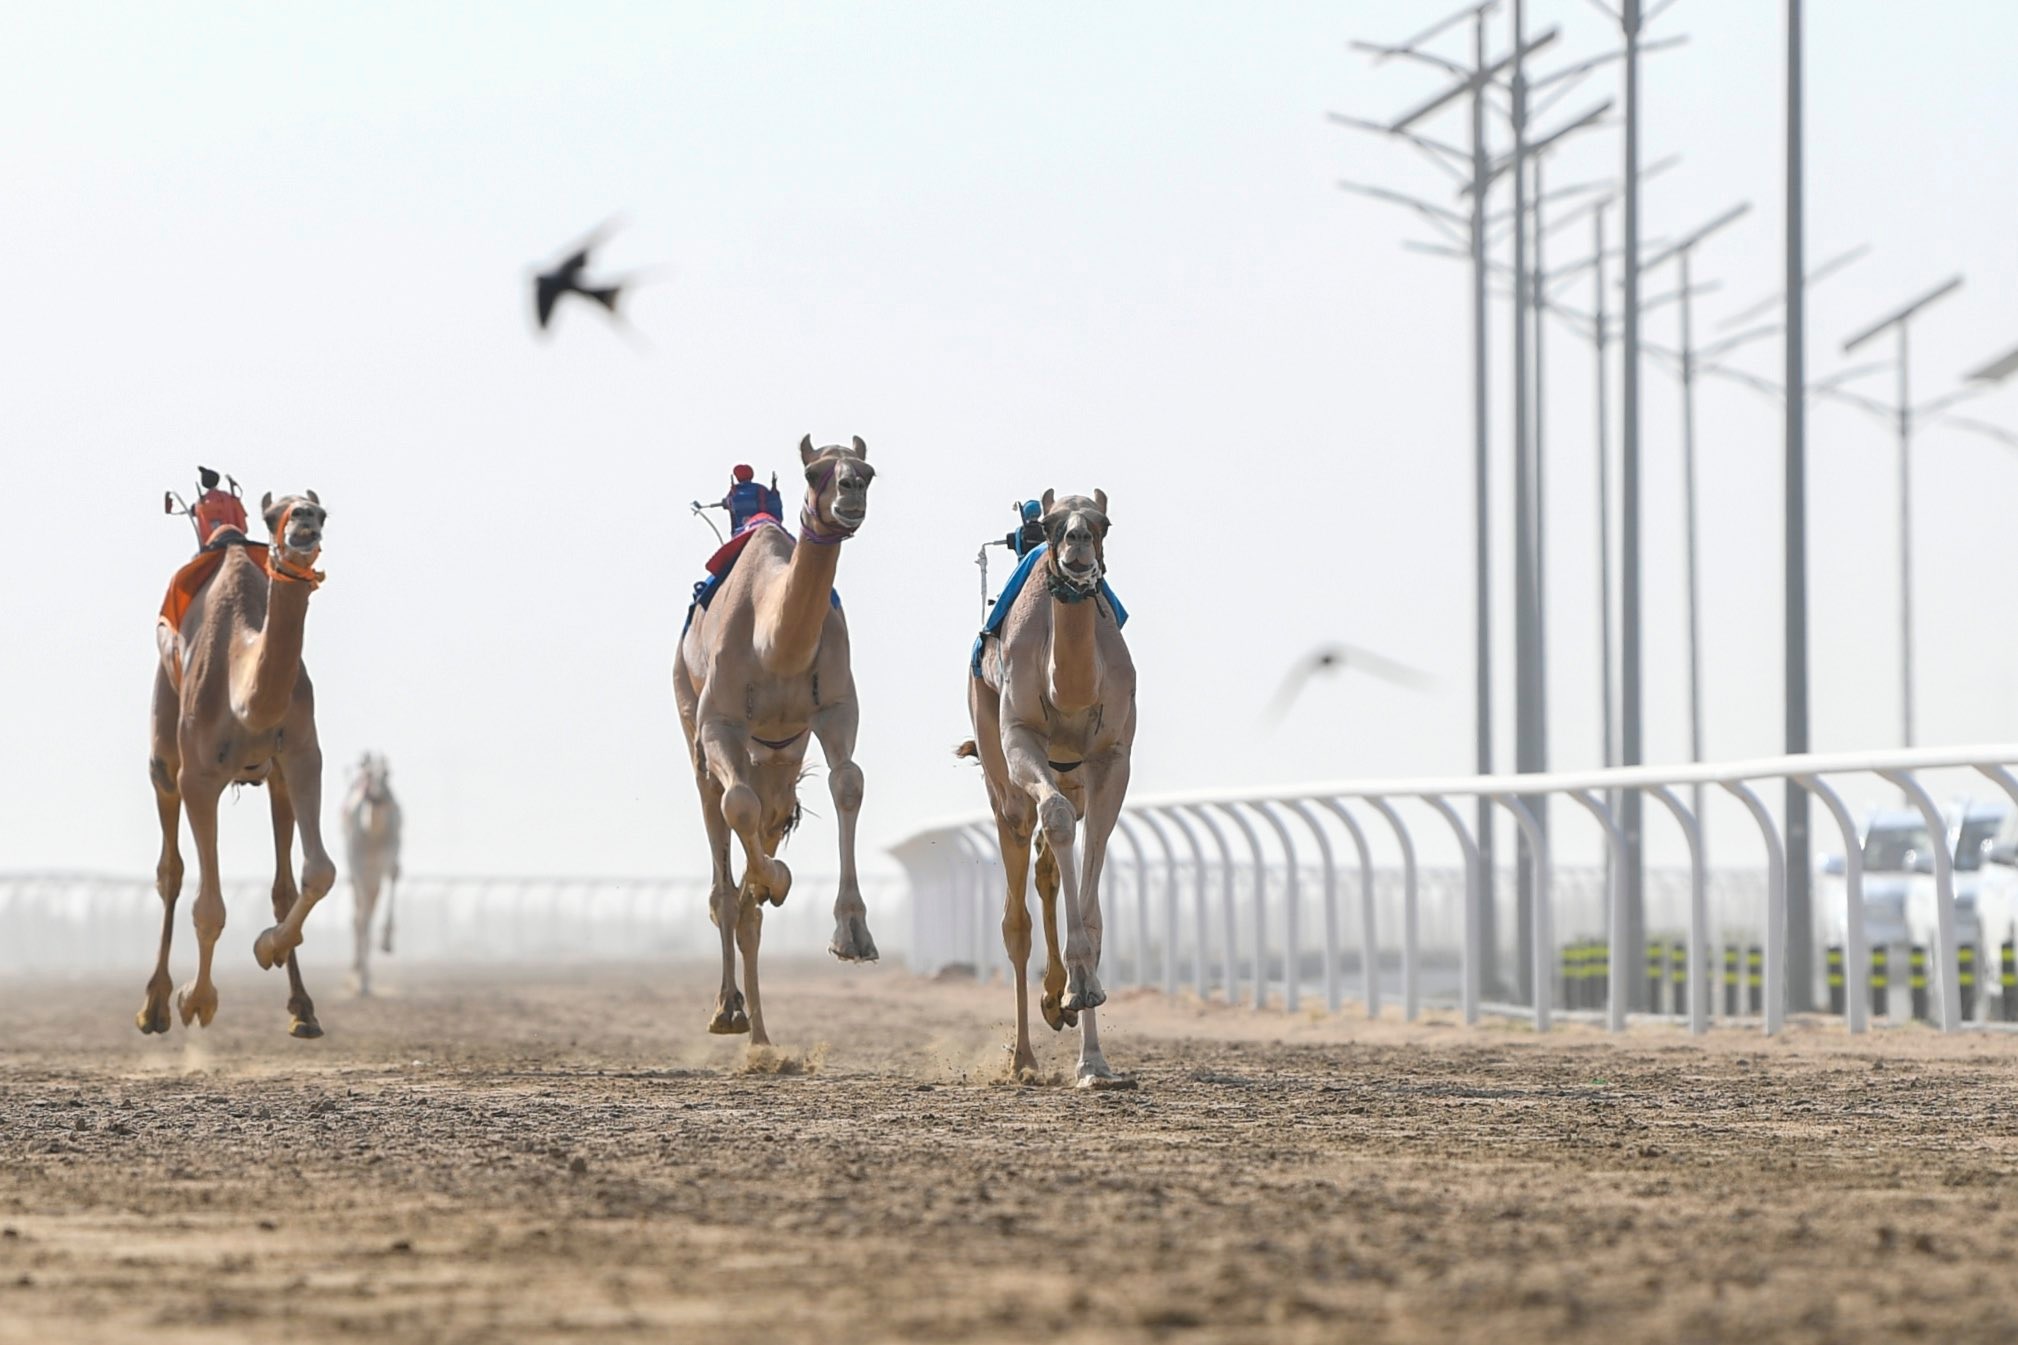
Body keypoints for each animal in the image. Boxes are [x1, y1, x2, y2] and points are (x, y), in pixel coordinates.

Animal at [142, 490, 332, 1040]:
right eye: (272, 516)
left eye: (322, 511)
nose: (304, 520)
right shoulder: (199, 775)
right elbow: (207, 907)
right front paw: (194, 1001)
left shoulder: (303, 753)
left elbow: (319, 872)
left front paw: (268, 946)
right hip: (164, 748)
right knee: (171, 871)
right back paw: (154, 1006)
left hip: (275, 781)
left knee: (283, 885)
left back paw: (303, 1009)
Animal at [674, 437, 879, 1048]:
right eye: (815, 473)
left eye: (868, 471)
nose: (850, 493)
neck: (774, 646)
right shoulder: (718, 722)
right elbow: (735, 806)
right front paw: (781, 879)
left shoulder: (835, 709)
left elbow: (848, 782)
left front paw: (853, 935)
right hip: (694, 724)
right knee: (722, 844)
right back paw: (728, 1011)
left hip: (780, 762)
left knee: (752, 878)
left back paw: (762, 1037)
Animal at [960, 490, 1138, 1088]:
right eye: (1056, 523)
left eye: (1104, 522)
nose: (1077, 542)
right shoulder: (1019, 739)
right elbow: (1056, 820)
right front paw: (1076, 990)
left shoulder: (1112, 761)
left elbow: (1092, 898)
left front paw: (1094, 1056)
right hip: (1000, 776)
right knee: (1016, 913)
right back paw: (1023, 1058)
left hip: (1072, 778)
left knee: (1047, 868)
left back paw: (1057, 1004)